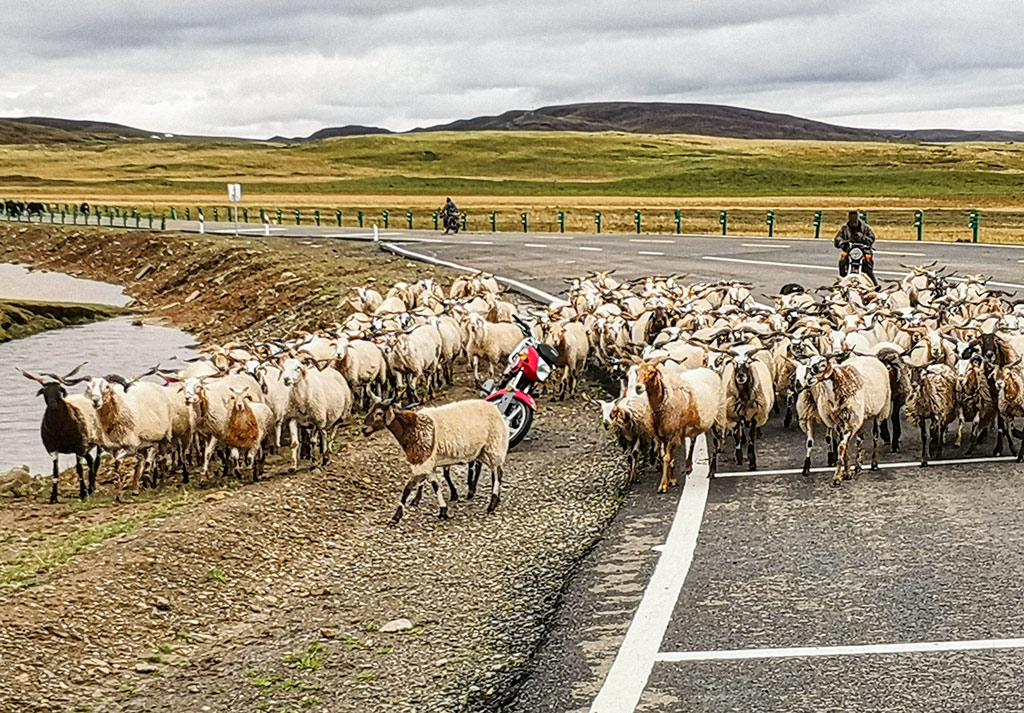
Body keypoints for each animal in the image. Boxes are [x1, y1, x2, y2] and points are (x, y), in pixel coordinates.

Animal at [362, 397, 509, 524]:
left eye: (379, 413)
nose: (364, 429)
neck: (412, 428)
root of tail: (494, 408)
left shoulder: (424, 463)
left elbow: (407, 488)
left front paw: (395, 518)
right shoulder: (429, 464)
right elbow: (435, 485)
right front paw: (443, 510)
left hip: (494, 445)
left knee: (498, 473)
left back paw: (492, 503)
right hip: (483, 451)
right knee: (494, 471)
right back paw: (493, 498)